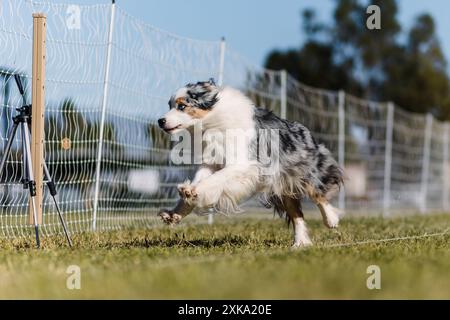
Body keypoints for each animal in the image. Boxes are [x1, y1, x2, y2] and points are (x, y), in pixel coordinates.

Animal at [156, 79, 342, 246]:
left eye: (181, 106)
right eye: (169, 105)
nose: (160, 121)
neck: (211, 122)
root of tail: (304, 130)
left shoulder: (243, 165)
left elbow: (216, 179)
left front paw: (193, 192)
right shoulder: (211, 162)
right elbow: (201, 179)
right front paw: (176, 210)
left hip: (301, 170)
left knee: (317, 192)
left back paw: (331, 219)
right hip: (280, 185)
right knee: (297, 214)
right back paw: (300, 242)